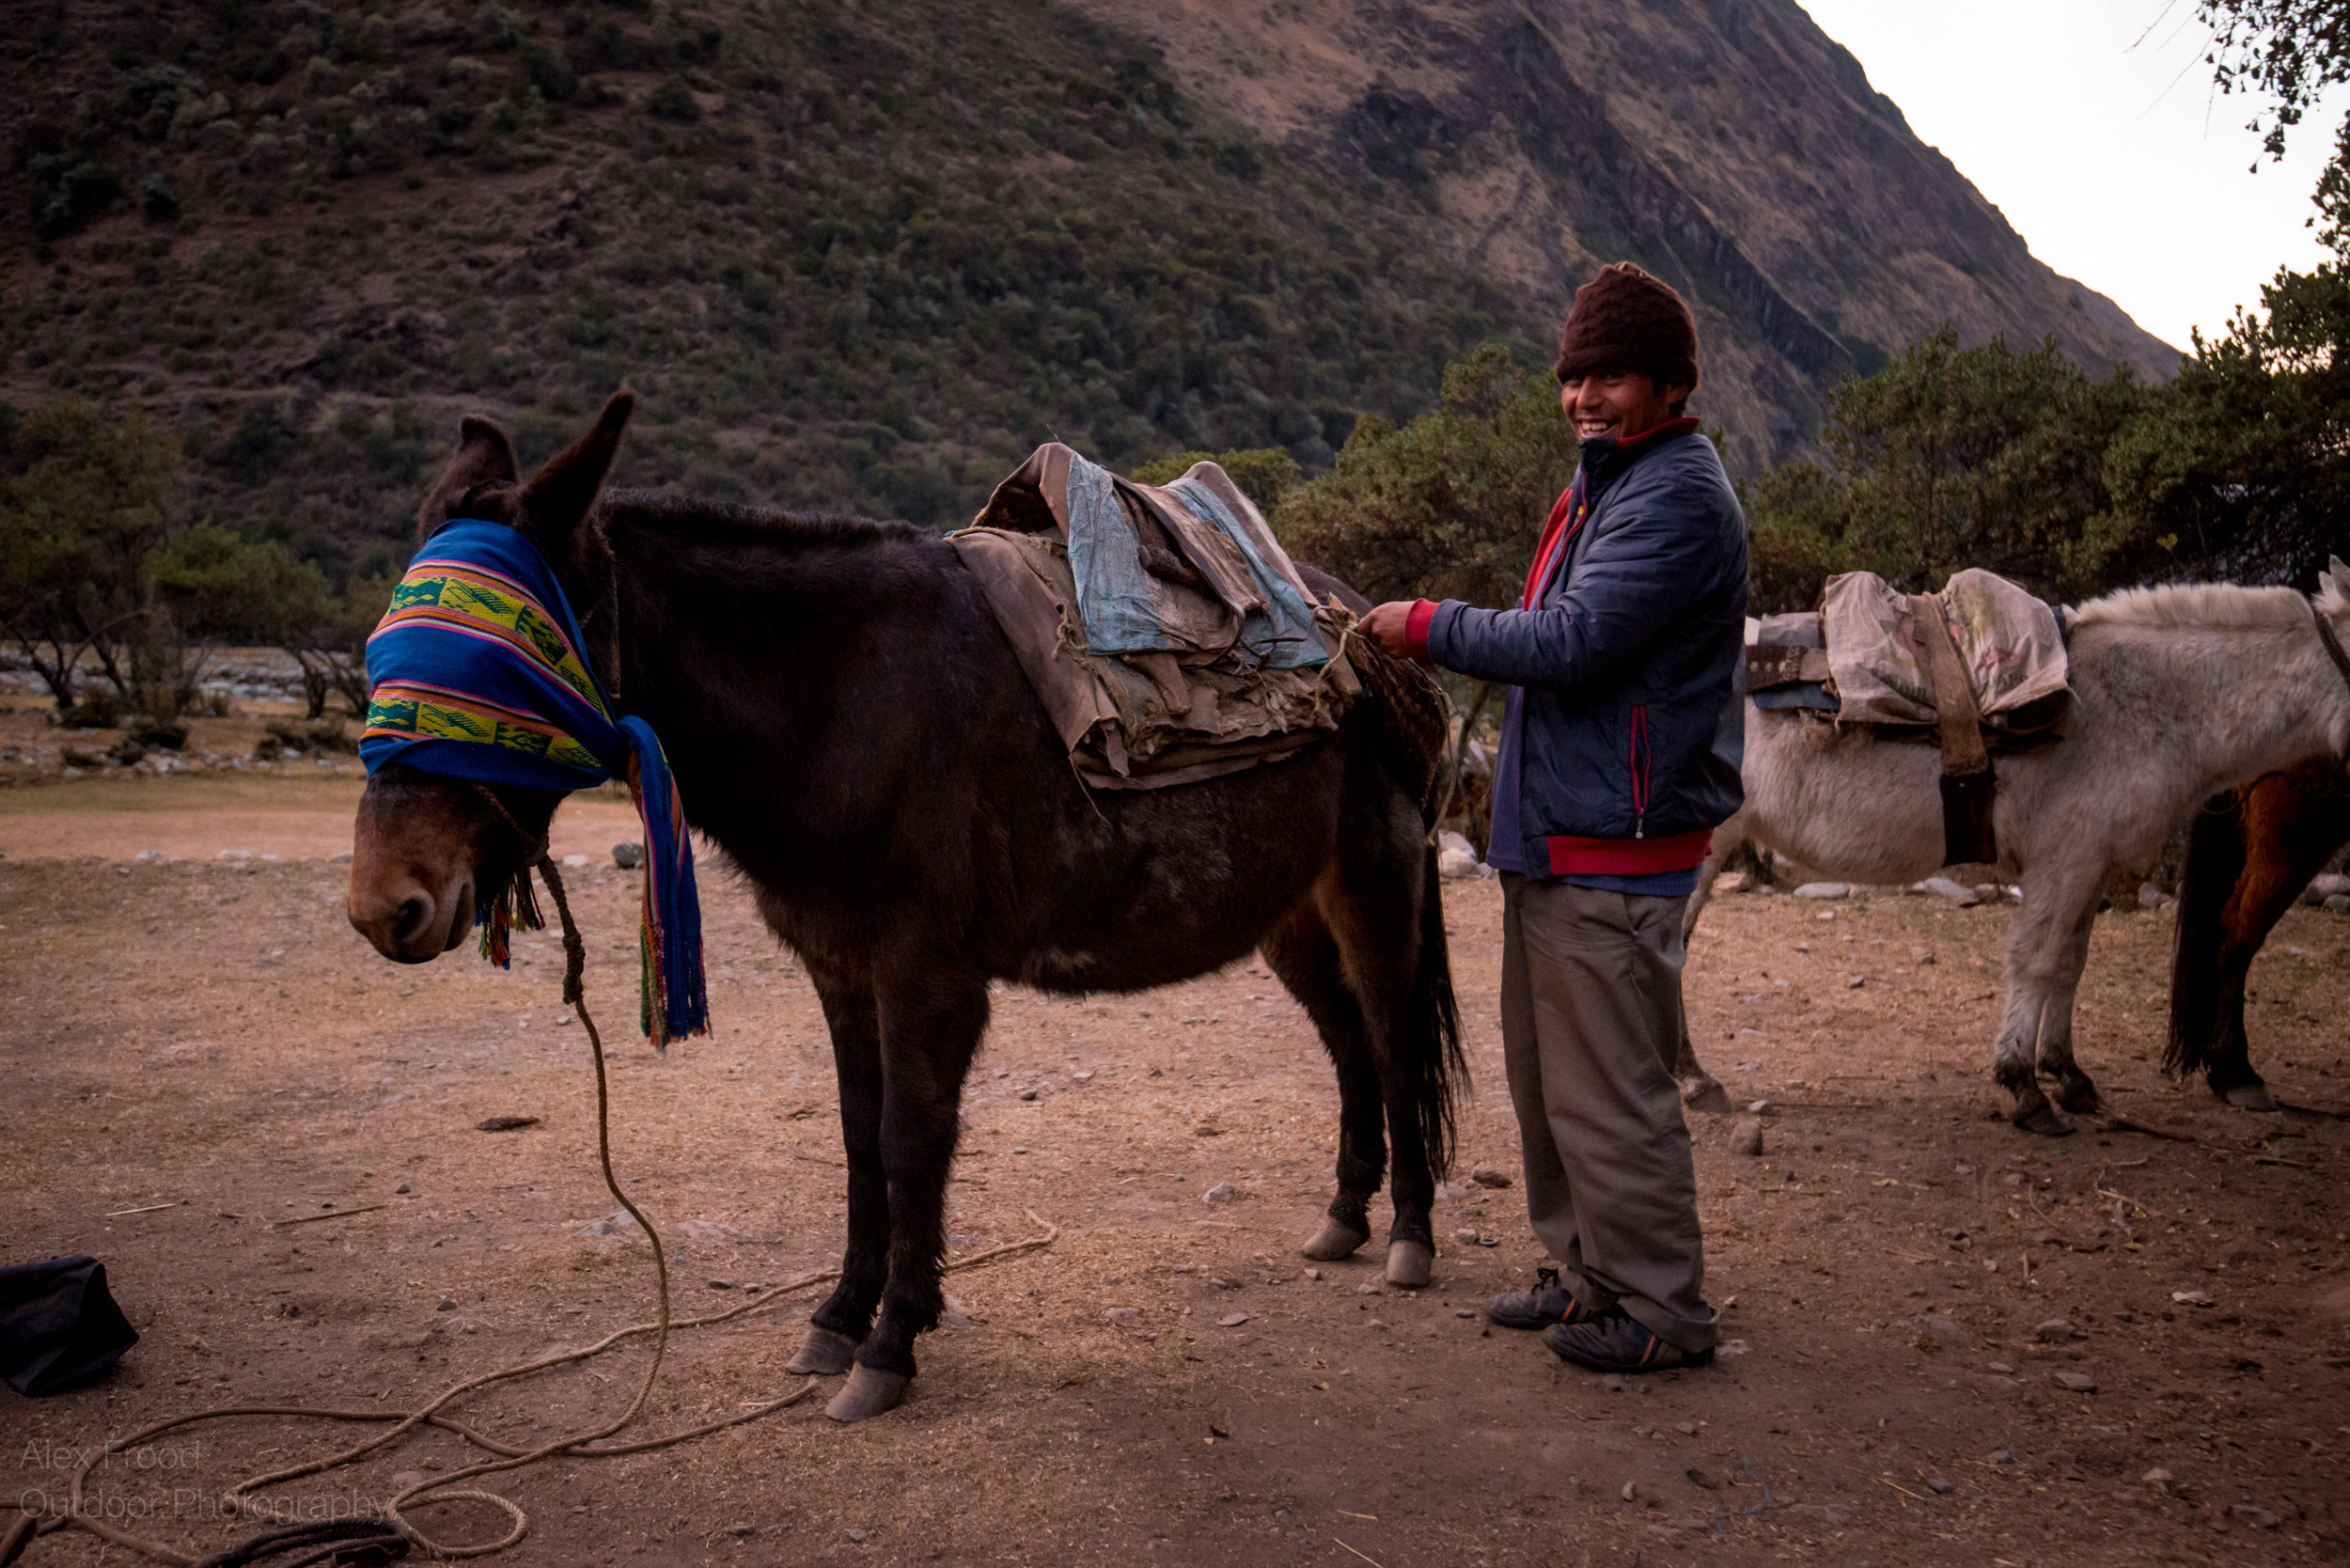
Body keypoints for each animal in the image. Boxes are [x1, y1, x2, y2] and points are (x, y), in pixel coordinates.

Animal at [345, 395, 1457, 1419]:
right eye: (381, 656)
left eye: (498, 666)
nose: (380, 906)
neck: (838, 699)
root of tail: (1356, 621)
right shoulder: (843, 972)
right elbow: (857, 1139)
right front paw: (840, 1319)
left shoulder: (928, 977)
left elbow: (911, 1138)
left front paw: (888, 1346)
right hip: (1291, 920)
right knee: (1349, 1047)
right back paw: (1346, 1216)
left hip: (1374, 884)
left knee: (1392, 1040)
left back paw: (1409, 1237)